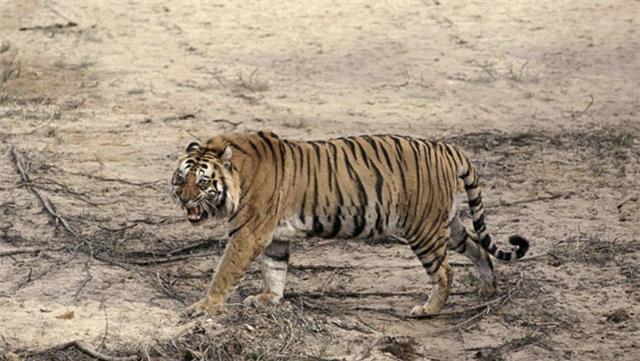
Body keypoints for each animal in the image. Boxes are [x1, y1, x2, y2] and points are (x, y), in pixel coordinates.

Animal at [171, 131, 528, 316]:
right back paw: (487, 287)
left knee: (445, 271)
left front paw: (204, 306)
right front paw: (269, 299)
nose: (184, 200)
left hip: (423, 229)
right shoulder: (274, 236)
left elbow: (224, 272)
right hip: (448, 224)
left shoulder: (248, 234)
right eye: (180, 178)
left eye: (202, 182)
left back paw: (428, 309)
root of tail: (446, 147)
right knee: (477, 248)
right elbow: (275, 270)